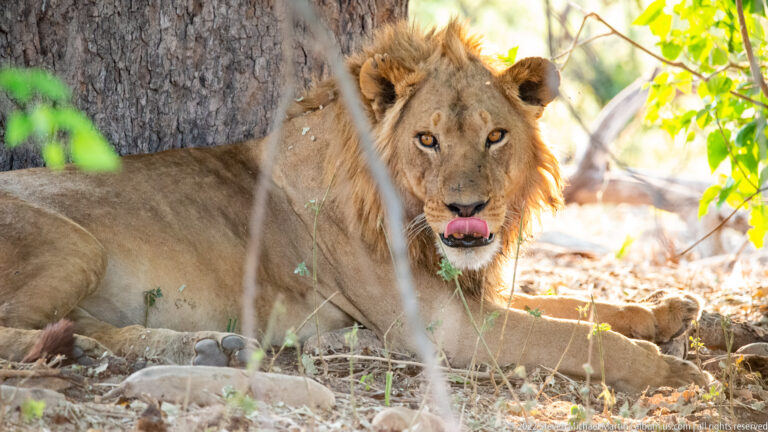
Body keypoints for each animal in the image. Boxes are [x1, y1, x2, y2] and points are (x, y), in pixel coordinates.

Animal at [0, 19, 706, 393]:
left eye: (495, 136)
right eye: (427, 139)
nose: (466, 211)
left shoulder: (465, 292)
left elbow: (579, 305)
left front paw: (667, 311)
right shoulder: (444, 329)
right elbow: (575, 337)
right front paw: (677, 372)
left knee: (81, 326)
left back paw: (199, 348)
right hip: (78, 246)